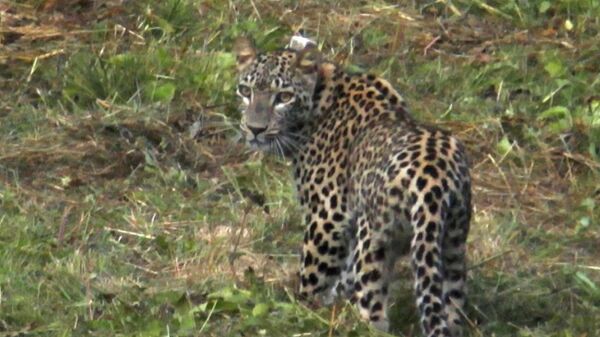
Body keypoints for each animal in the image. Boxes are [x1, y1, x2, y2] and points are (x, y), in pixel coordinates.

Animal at [232, 36, 472, 336]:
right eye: (245, 91)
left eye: (283, 97)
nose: (255, 129)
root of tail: (434, 180)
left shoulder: (327, 217)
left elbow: (313, 274)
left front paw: (302, 310)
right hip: (452, 242)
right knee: (452, 302)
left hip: (374, 242)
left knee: (373, 309)